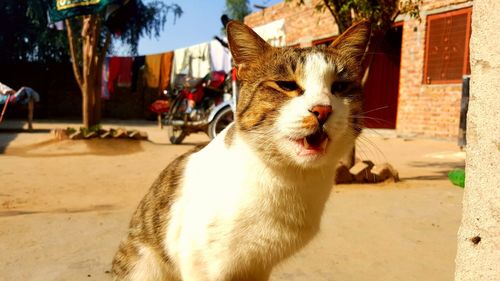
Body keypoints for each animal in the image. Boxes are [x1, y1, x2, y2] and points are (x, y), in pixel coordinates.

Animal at [114, 20, 372, 280]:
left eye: (340, 87)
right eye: (286, 85)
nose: (322, 110)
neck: (292, 179)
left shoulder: (259, 266)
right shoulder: (201, 264)